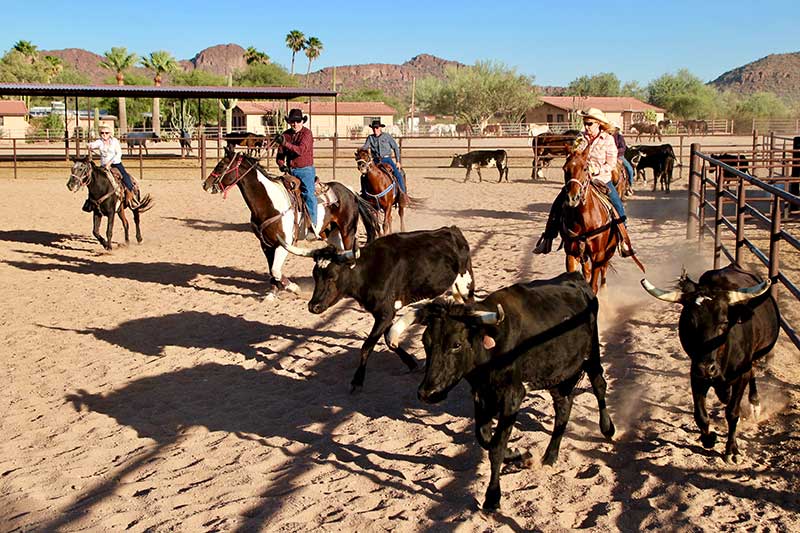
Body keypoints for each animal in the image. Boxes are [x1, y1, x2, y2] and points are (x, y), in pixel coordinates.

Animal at [205, 148, 382, 298]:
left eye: (221, 165)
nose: (205, 185)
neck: (269, 203)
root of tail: (349, 191)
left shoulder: (284, 243)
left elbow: (276, 270)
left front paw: (294, 288)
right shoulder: (266, 245)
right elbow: (272, 270)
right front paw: (272, 293)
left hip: (347, 231)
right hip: (332, 234)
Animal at [282, 225, 476, 390]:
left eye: (332, 276)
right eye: (315, 275)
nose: (313, 306)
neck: (367, 272)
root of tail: (451, 230)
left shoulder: (385, 313)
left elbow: (367, 346)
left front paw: (357, 381)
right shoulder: (384, 314)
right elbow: (389, 339)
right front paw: (412, 363)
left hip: (465, 284)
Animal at [390, 272, 616, 510]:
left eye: (456, 344)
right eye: (425, 342)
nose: (427, 393)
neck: (492, 349)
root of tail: (576, 278)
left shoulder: (512, 397)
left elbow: (496, 446)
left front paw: (492, 497)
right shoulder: (482, 396)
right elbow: (484, 437)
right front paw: (516, 454)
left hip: (591, 354)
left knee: (599, 384)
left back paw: (607, 428)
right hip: (557, 374)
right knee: (563, 406)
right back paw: (550, 456)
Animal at [564, 143, 644, 294]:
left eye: (585, 168)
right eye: (565, 169)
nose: (573, 197)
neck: (585, 219)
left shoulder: (598, 255)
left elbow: (593, 285)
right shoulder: (571, 253)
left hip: (608, 251)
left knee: (603, 270)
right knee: (587, 271)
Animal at [640, 264, 780, 462]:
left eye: (723, 322)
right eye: (689, 322)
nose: (707, 368)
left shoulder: (741, 375)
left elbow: (732, 412)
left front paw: (732, 450)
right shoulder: (696, 375)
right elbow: (700, 415)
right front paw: (709, 438)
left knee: (752, 373)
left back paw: (754, 403)